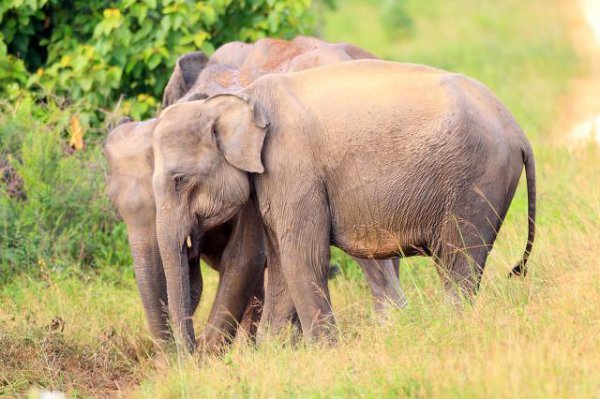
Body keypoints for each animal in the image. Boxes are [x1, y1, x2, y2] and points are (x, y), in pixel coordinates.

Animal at [152, 59, 536, 346]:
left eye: (179, 179)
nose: (193, 355)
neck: (239, 99)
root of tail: (518, 131)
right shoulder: (270, 183)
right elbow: (280, 262)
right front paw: (272, 354)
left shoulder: (293, 170)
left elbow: (303, 257)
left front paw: (324, 352)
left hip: (476, 182)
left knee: (459, 263)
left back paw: (452, 327)